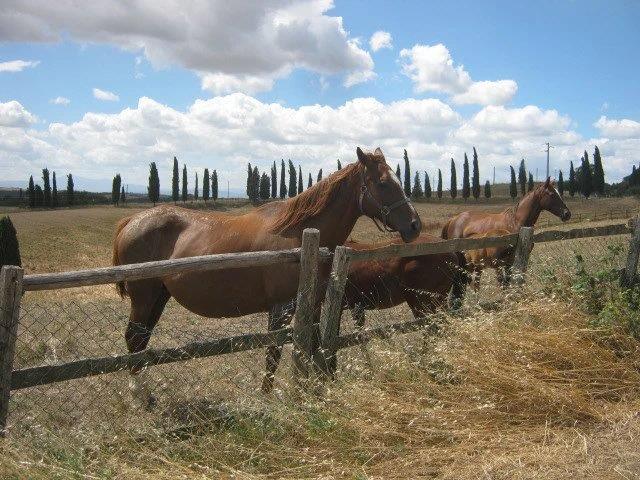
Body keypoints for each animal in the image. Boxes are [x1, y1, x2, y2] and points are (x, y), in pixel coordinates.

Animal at [113, 147, 421, 406]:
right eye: (383, 183)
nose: (415, 225)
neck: (299, 235)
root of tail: (132, 221)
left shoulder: (314, 306)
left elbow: (313, 347)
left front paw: (317, 389)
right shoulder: (280, 309)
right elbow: (274, 352)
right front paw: (267, 396)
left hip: (158, 297)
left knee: (141, 341)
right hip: (144, 297)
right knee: (134, 338)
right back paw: (140, 398)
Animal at [441, 177, 569, 286]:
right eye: (552, 194)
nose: (567, 214)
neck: (515, 222)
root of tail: (453, 219)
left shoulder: (511, 261)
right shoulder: (504, 262)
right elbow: (504, 282)